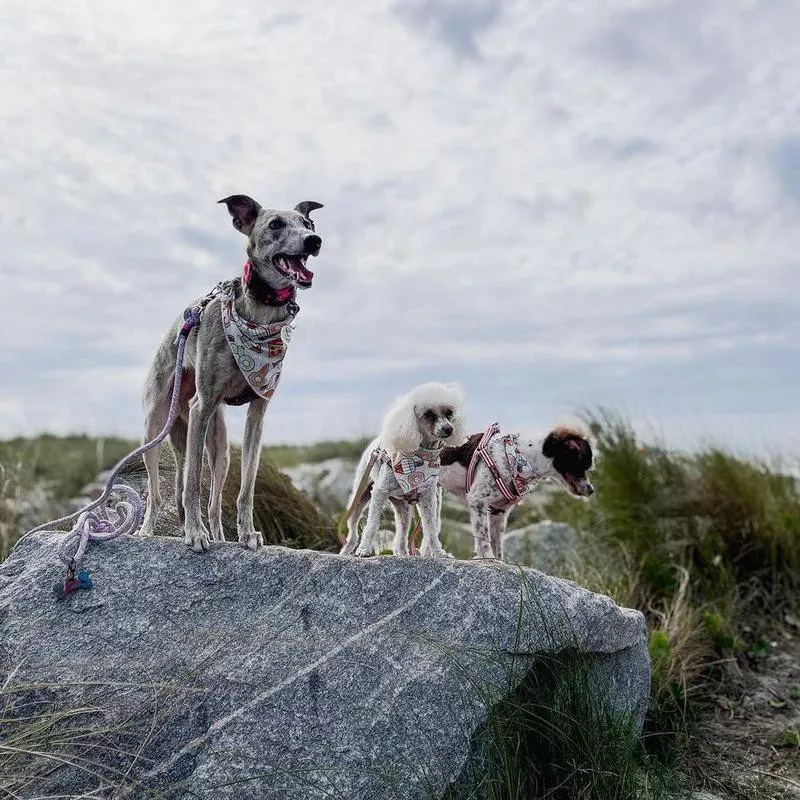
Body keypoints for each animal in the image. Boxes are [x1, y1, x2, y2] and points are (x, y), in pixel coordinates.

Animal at [140, 197, 322, 552]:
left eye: (308, 225)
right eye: (275, 224)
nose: (314, 241)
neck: (259, 315)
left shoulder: (258, 412)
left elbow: (246, 488)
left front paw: (247, 532)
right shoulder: (202, 405)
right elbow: (192, 485)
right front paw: (194, 533)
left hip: (219, 446)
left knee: (213, 501)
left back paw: (219, 534)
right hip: (157, 426)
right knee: (157, 492)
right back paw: (146, 530)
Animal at [438, 428, 592, 560]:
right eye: (582, 464)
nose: (591, 490)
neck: (518, 458)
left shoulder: (499, 512)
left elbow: (497, 544)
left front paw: (499, 562)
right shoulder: (477, 500)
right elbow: (483, 539)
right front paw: (488, 558)